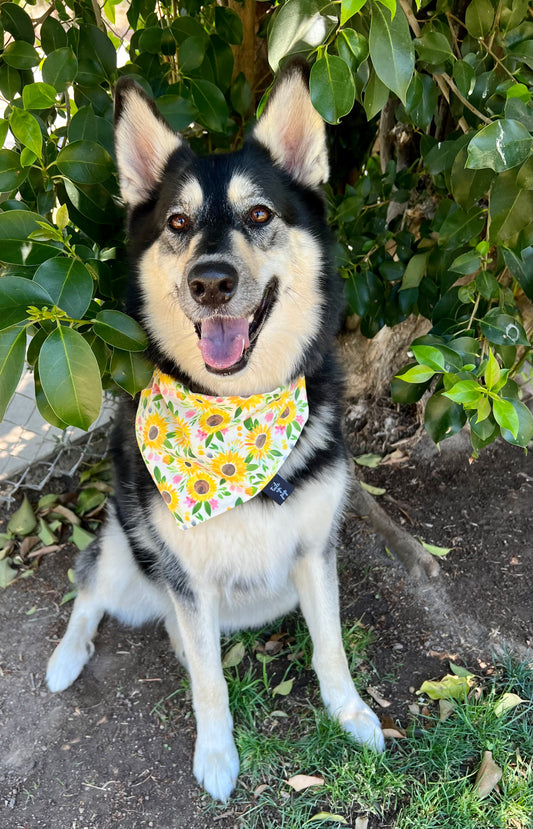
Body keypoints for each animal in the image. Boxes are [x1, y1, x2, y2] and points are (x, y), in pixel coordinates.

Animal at [45, 59, 382, 804]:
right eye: (177, 221)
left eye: (259, 215)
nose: (211, 281)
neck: (234, 420)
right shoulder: (187, 579)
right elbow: (208, 681)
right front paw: (218, 755)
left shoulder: (314, 552)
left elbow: (331, 646)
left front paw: (349, 715)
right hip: (125, 551)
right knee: (89, 591)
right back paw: (65, 657)